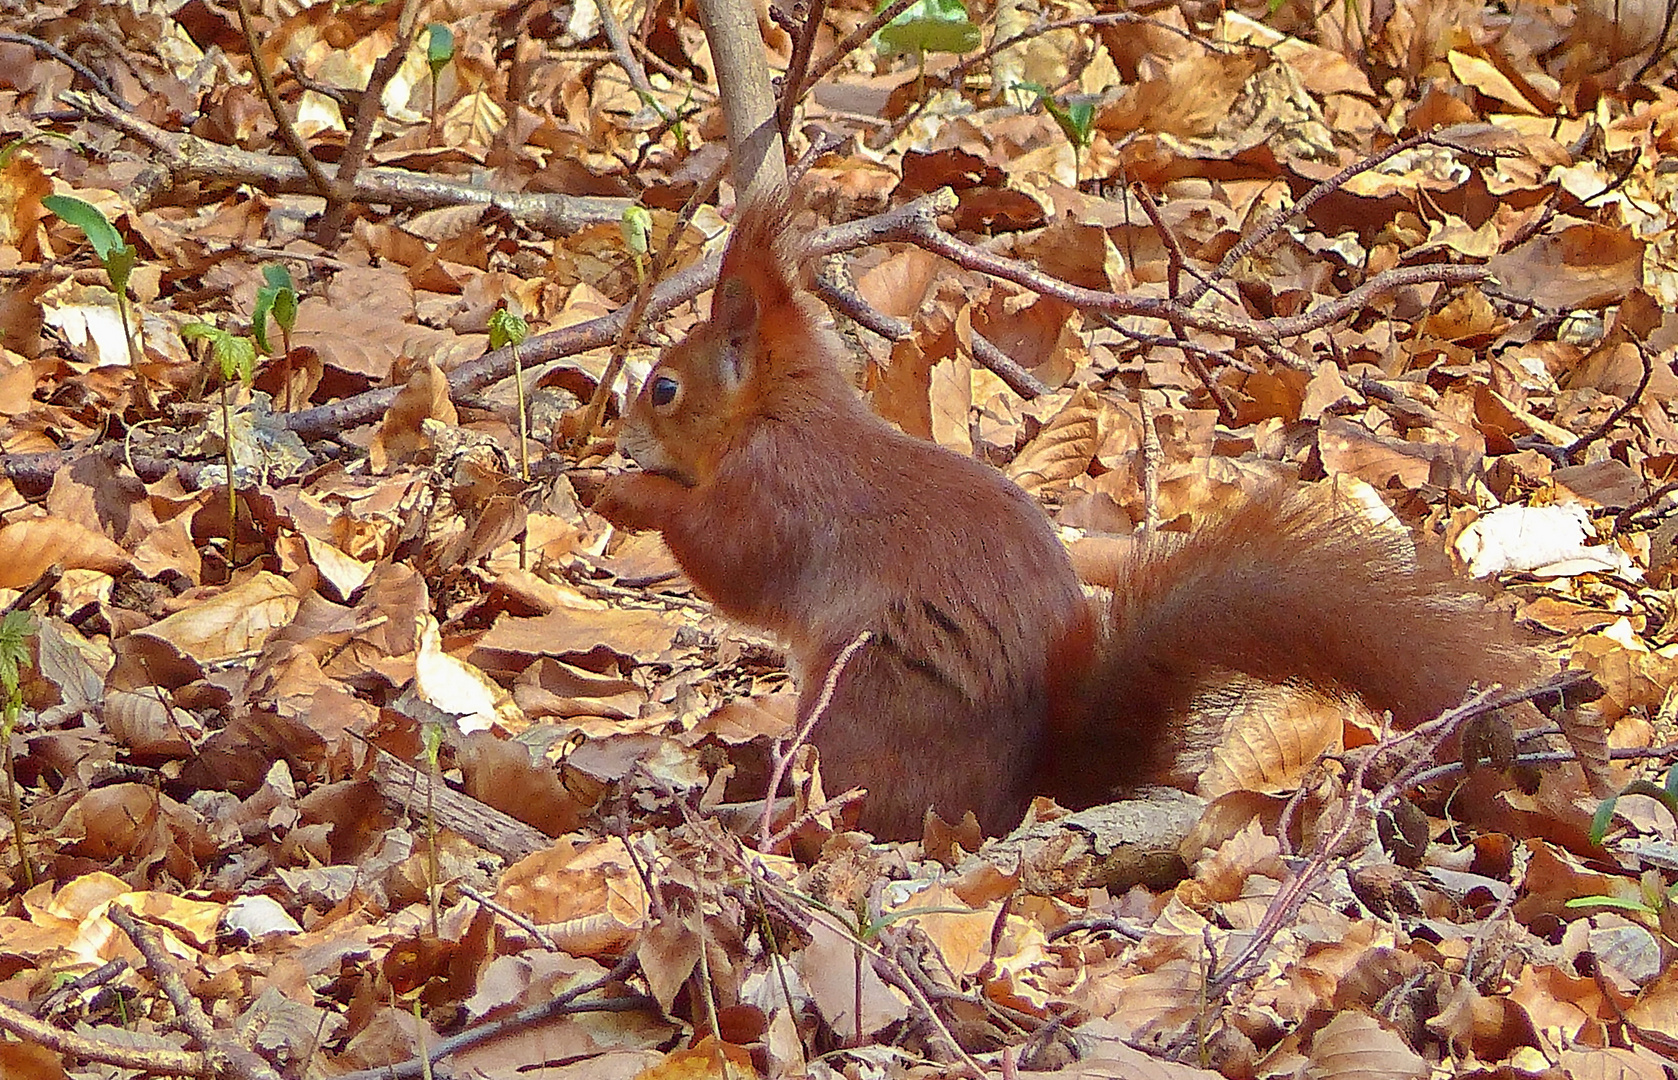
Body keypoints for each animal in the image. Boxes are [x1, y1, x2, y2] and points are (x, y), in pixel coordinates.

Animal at [594, 193, 1537, 838]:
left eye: (664, 388)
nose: (619, 430)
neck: (782, 415)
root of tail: (1032, 788)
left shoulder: (778, 494)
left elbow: (728, 559)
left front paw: (626, 493)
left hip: (862, 699)